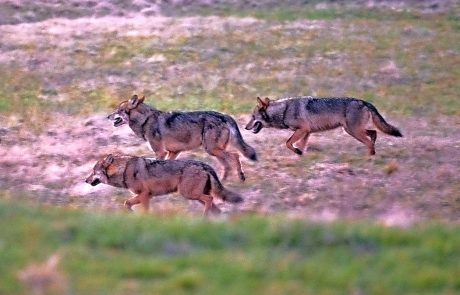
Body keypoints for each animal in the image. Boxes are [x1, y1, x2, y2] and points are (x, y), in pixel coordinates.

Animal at [84, 155, 243, 215]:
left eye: (93, 172)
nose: (85, 180)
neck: (124, 169)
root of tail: (204, 164)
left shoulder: (145, 195)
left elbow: (145, 211)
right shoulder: (144, 196)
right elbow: (126, 203)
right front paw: (131, 214)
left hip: (189, 194)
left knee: (210, 200)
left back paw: (204, 219)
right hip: (195, 196)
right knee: (215, 207)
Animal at [109, 96, 256, 182]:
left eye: (119, 110)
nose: (108, 116)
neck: (146, 120)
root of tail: (225, 115)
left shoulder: (160, 152)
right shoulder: (173, 152)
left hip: (212, 149)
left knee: (235, 156)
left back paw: (237, 178)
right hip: (214, 150)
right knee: (230, 162)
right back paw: (226, 180)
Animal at [244, 97, 402, 157]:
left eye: (252, 117)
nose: (245, 127)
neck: (284, 110)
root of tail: (364, 101)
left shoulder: (302, 130)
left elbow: (288, 143)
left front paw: (298, 152)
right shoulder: (307, 132)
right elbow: (300, 146)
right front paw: (301, 155)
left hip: (354, 131)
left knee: (370, 140)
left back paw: (369, 157)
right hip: (352, 130)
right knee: (374, 133)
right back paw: (373, 154)